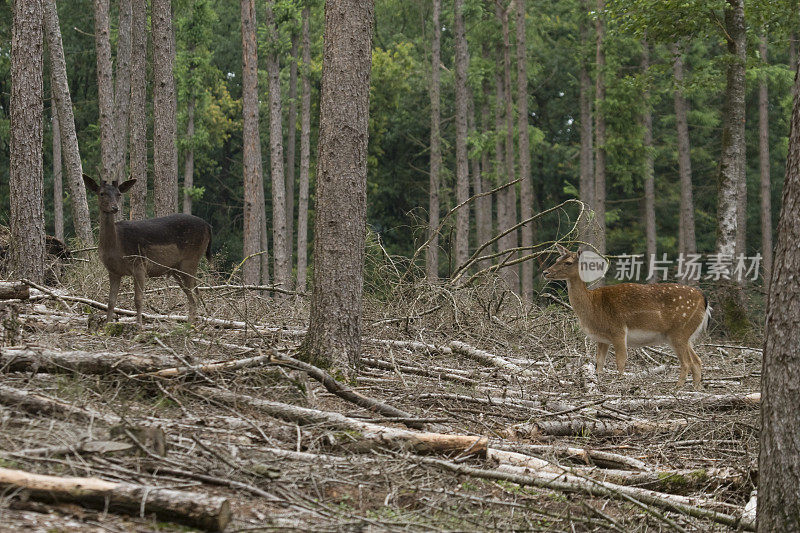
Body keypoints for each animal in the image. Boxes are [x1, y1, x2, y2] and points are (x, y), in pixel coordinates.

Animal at [83, 175, 212, 326]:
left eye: (119, 194)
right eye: (102, 193)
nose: (115, 207)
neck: (116, 246)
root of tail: (208, 226)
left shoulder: (139, 264)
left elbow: (138, 300)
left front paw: (139, 326)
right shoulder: (113, 271)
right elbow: (111, 302)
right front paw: (107, 325)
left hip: (190, 260)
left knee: (194, 297)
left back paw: (191, 326)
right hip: (177, 269)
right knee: (195, 295)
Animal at [540, 243, 708, 388]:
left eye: (568, 262)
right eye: (557, 259)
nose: (545, 272)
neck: (593, 308)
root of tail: (703, 298)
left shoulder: (618, 330)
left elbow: (620, 361)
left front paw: (619, 384)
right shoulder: (603, 338)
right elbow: (599, 364)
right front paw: (599, 383)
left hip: (679, 331)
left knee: (687, 362)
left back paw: (677, 387)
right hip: (685, 334)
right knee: (697, 360)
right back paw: (695, 388)